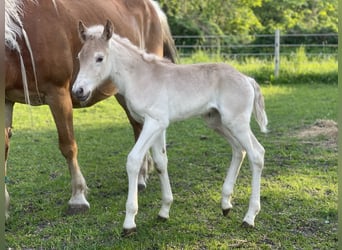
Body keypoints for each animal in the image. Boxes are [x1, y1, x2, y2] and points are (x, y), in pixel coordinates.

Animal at [4, 0, 176, 216]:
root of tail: (153, 8)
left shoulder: (57, 94)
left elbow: (68, 146)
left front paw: (78, 198)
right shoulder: (6, 100)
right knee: (138, 127)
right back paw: (142, 175)